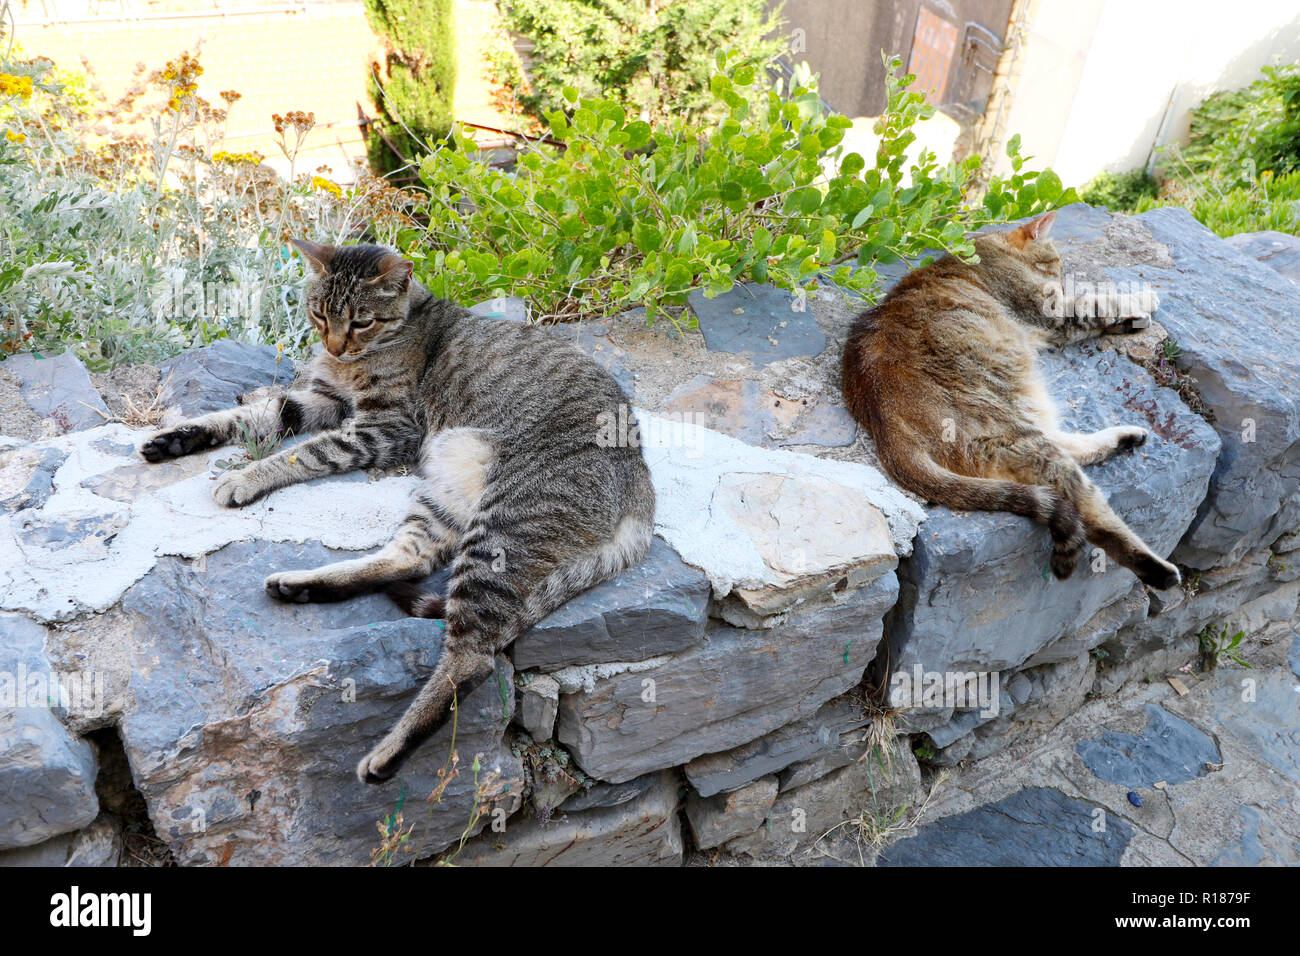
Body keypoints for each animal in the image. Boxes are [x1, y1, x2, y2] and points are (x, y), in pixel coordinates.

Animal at [139, 240, 660, 785]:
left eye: (361, 322)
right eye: (319, 314)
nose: (334, 346)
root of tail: (642, 486)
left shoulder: (384, 428)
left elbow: (304, 453)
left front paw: (245, 476)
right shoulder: (320, 401)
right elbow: (253, 414)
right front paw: (181, 436)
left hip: (503, 529)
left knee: (472, 658)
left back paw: (386, 755)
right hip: (446, 492)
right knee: (412, 559)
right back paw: (303, 586)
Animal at [837, 210, 1185, 590]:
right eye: (1056, 266)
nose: (1062, 284)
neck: (990, 249)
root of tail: (884, 424)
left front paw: (1132, 318)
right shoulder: (1050, 312)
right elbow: (1097, 302)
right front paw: (1141, 299)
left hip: (1020, 417)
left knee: (1067, 448)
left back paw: (1125, 438)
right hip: (1015, 434)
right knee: (1088, 509)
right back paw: (1157, 570)